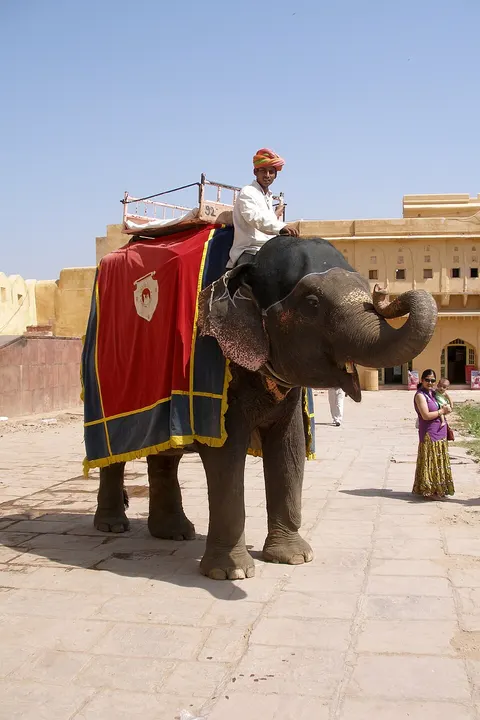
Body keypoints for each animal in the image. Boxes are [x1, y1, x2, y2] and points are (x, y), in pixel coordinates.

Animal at [93, 235, 437, 580]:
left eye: (367, 286)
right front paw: (231, 573)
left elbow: (290, 447)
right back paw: (113, 526)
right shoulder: (213, 373)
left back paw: (175, 533)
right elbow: (226, 456)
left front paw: (294, 558)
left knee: (166, 456)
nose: (384, 291)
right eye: (312, 303)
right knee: (115, 456)